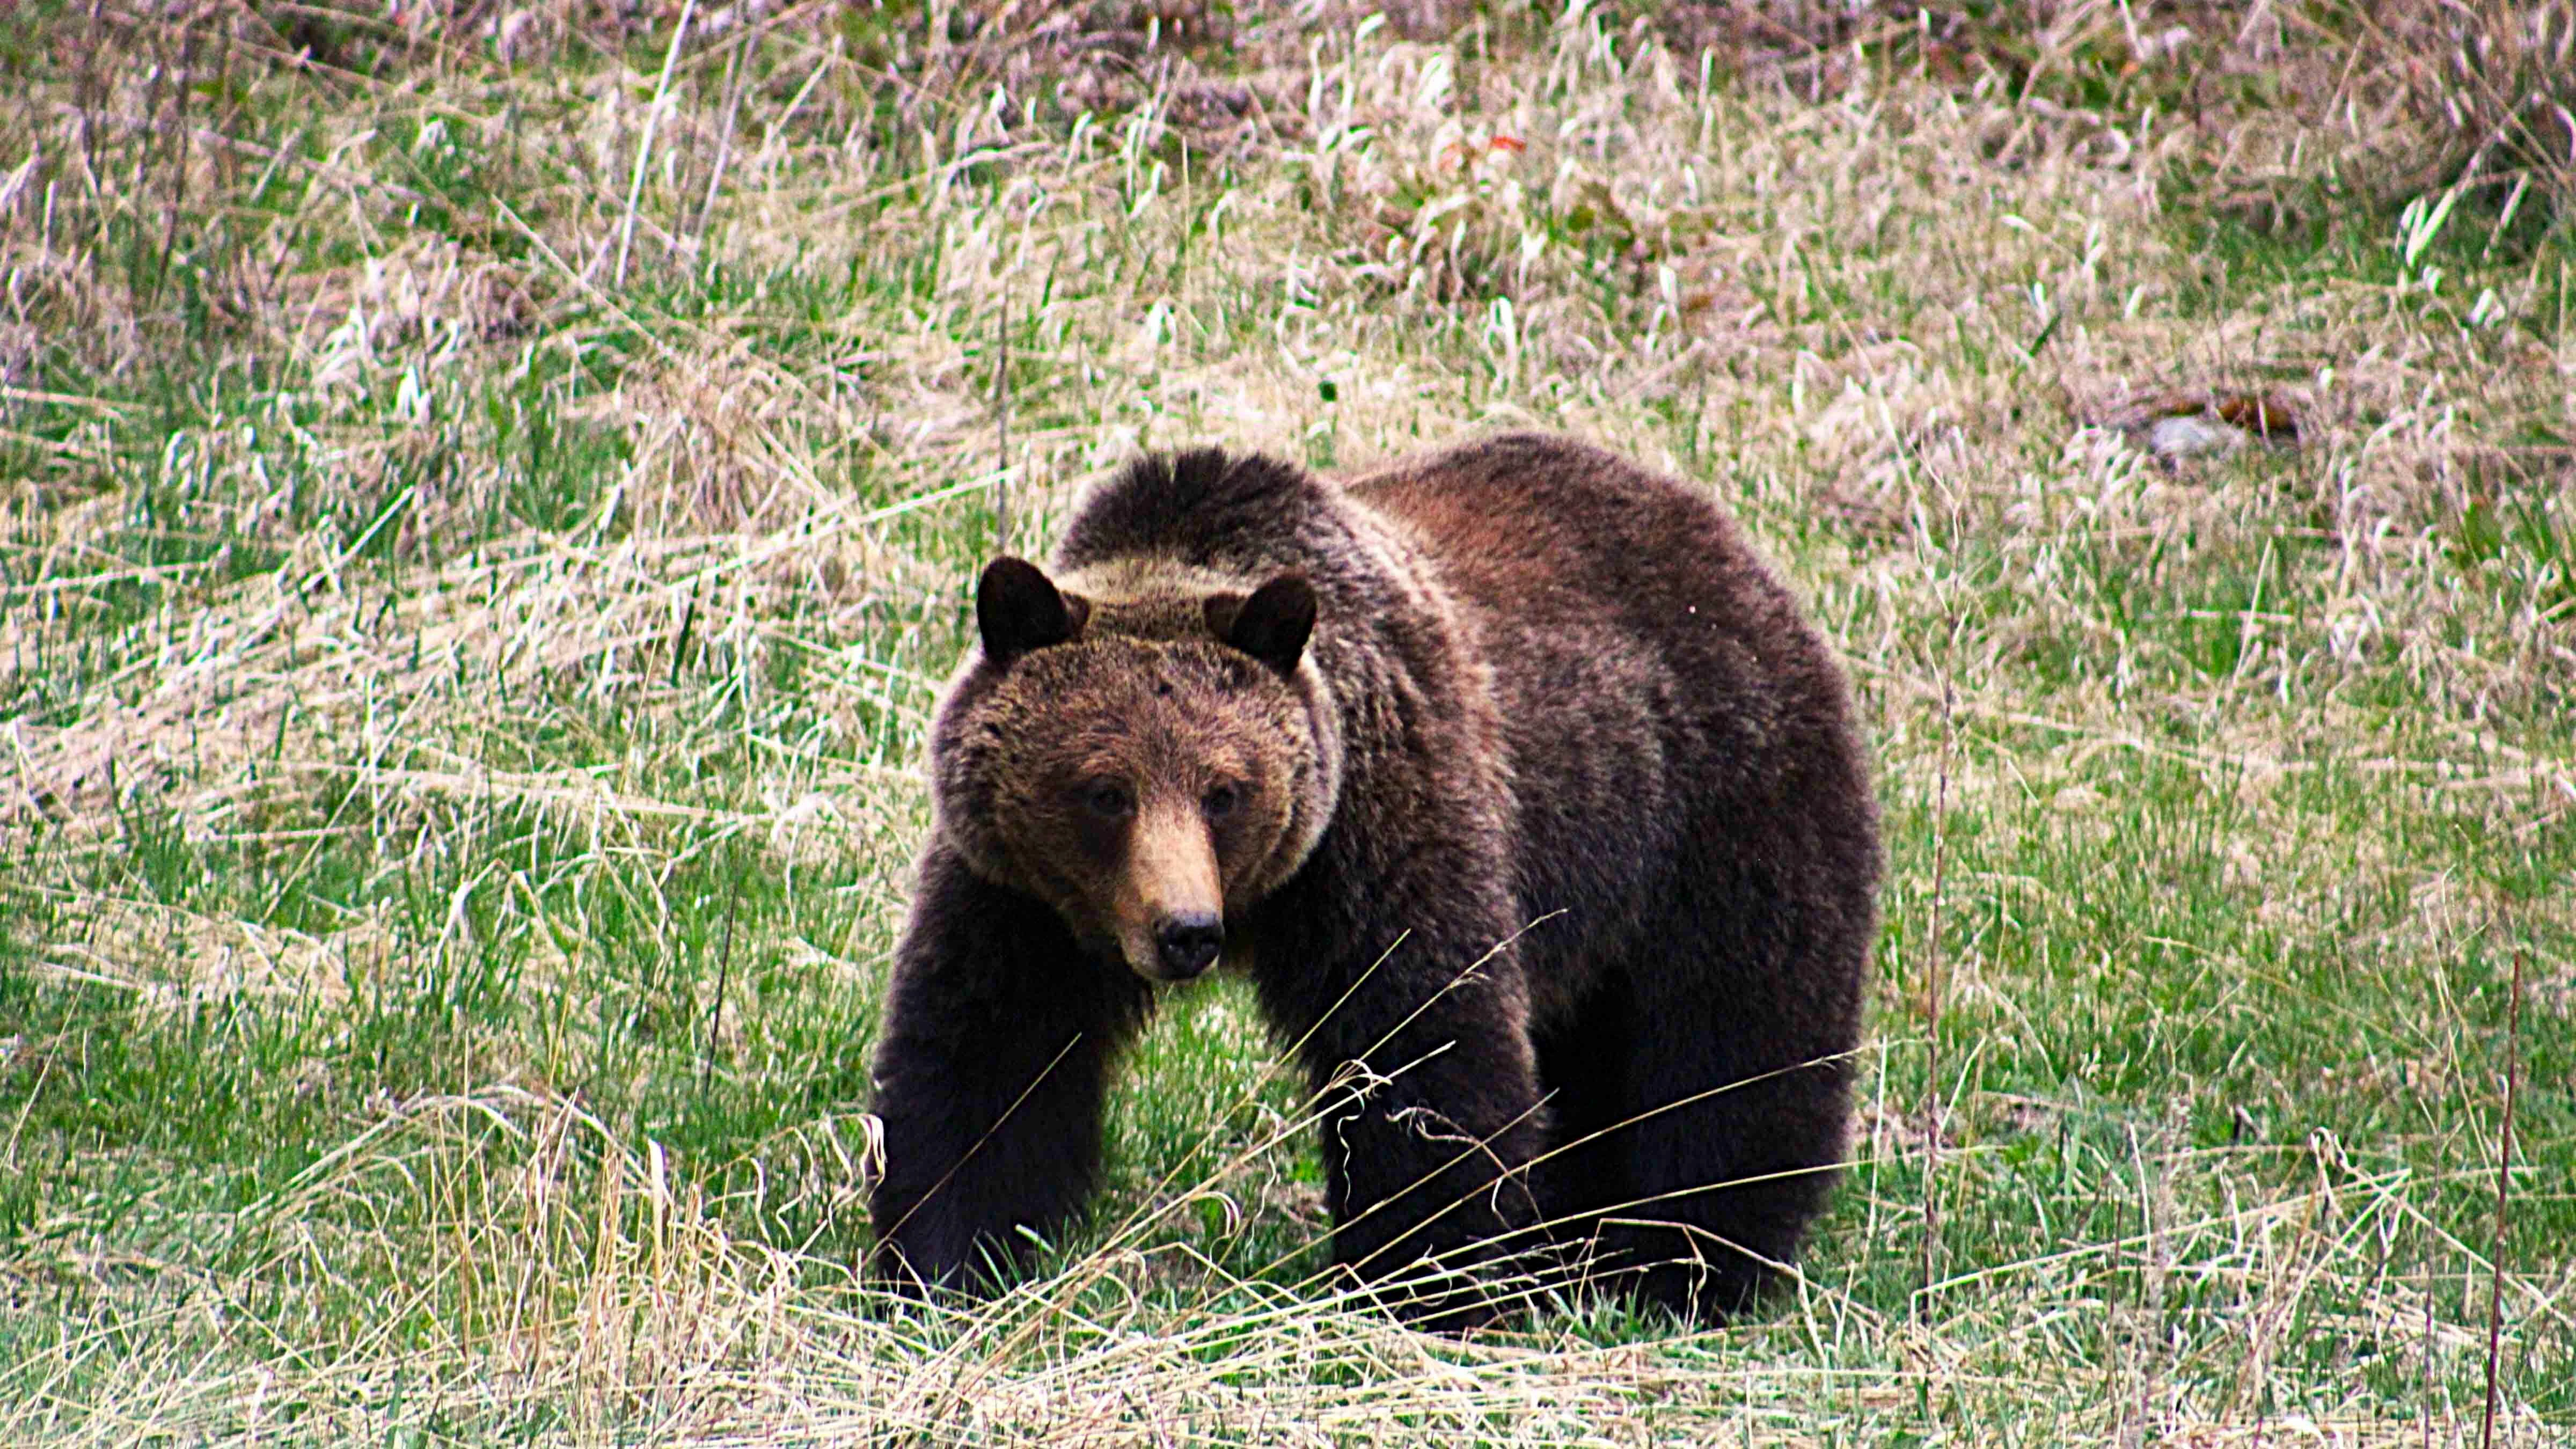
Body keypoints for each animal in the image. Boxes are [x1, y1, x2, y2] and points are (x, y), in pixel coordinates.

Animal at [866, 433, 1880, 1327]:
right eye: (1104, 791)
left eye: (1225, 790)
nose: (1187, 932)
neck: (1265, 899)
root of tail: (1728, 541)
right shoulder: (1023, 898)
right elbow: (986, 1060)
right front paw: (942, 1265)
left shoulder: (1383, 830)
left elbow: (1423, 1056)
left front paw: (1420, 1286)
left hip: (1714, 818)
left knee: (1730, 1050)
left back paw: (1688, 1268)